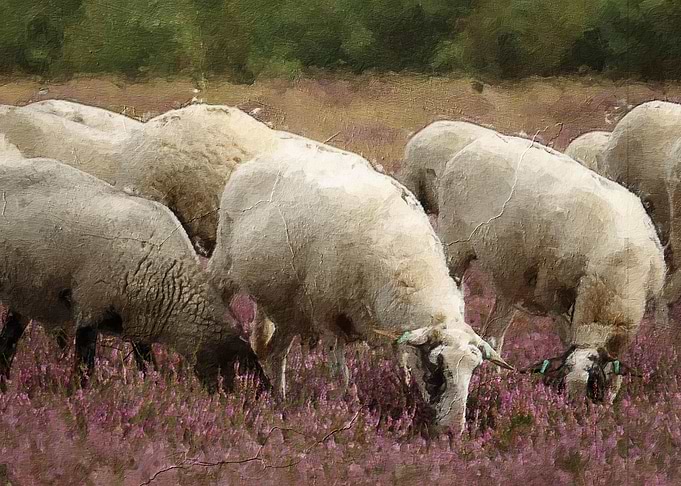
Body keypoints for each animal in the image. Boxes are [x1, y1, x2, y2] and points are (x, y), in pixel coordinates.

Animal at [0, 155, 266, 391]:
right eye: (244, 373)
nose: (261, 403)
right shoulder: (90, 306)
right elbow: (84, 366)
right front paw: (77, 395)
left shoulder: (139, 322)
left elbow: (147, 365)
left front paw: (153, 390)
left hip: (25, 294)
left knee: (8, 341)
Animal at [208, 143, 512, 434]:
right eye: (438, 366)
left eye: (474, 370)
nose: (453, 431)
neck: (409, 266)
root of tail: (257, 160)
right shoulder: (327, 317)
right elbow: (341, 376)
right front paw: (342, 413)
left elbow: (403, 370)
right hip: (224, 263)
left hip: (289, 307)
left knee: (275, 353)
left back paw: (280, 400)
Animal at [437, 133, 665, 402]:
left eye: (593, 385)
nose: (572, 409)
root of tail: (475, 145)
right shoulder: (554, 293)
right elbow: (567, 336)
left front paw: (610, 400)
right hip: (454, 247)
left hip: (510, 275)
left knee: (495, 331)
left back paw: (494, 378)